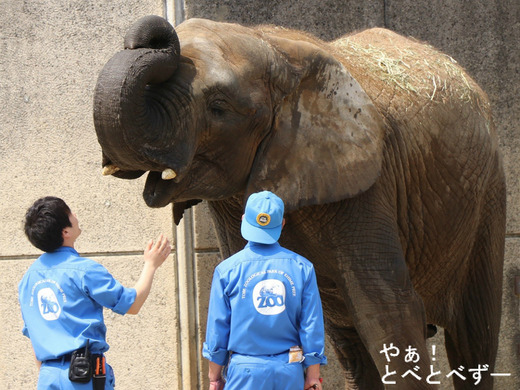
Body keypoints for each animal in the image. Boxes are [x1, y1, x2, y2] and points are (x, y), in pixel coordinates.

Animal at [92, 13, 504, 388]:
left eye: (219, 107)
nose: (152, 35)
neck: (276, 51)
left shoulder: (367, 188)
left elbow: (388, 315)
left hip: (488, 197)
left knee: (472, 337)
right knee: (350, 345)